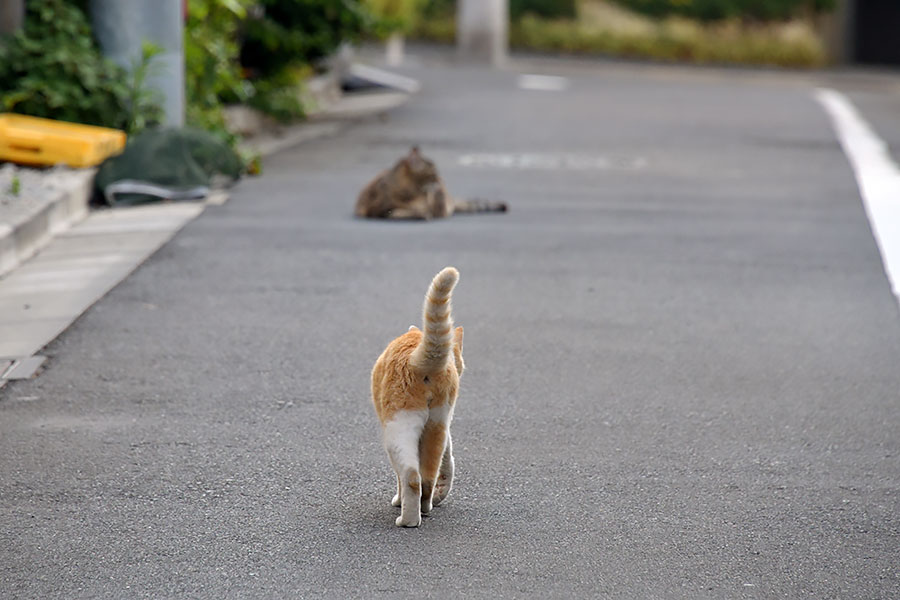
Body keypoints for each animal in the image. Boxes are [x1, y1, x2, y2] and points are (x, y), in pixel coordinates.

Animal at [370, 266, 464, 524]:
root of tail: (418, 358)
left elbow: (399, 477)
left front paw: (397, 500)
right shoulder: (446, 429)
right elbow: (448, 462)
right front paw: (441, 493)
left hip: (398, 425)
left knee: (411, 476)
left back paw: (408, 519)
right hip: (437, 422)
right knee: (428, 475)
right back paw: (426, 506)